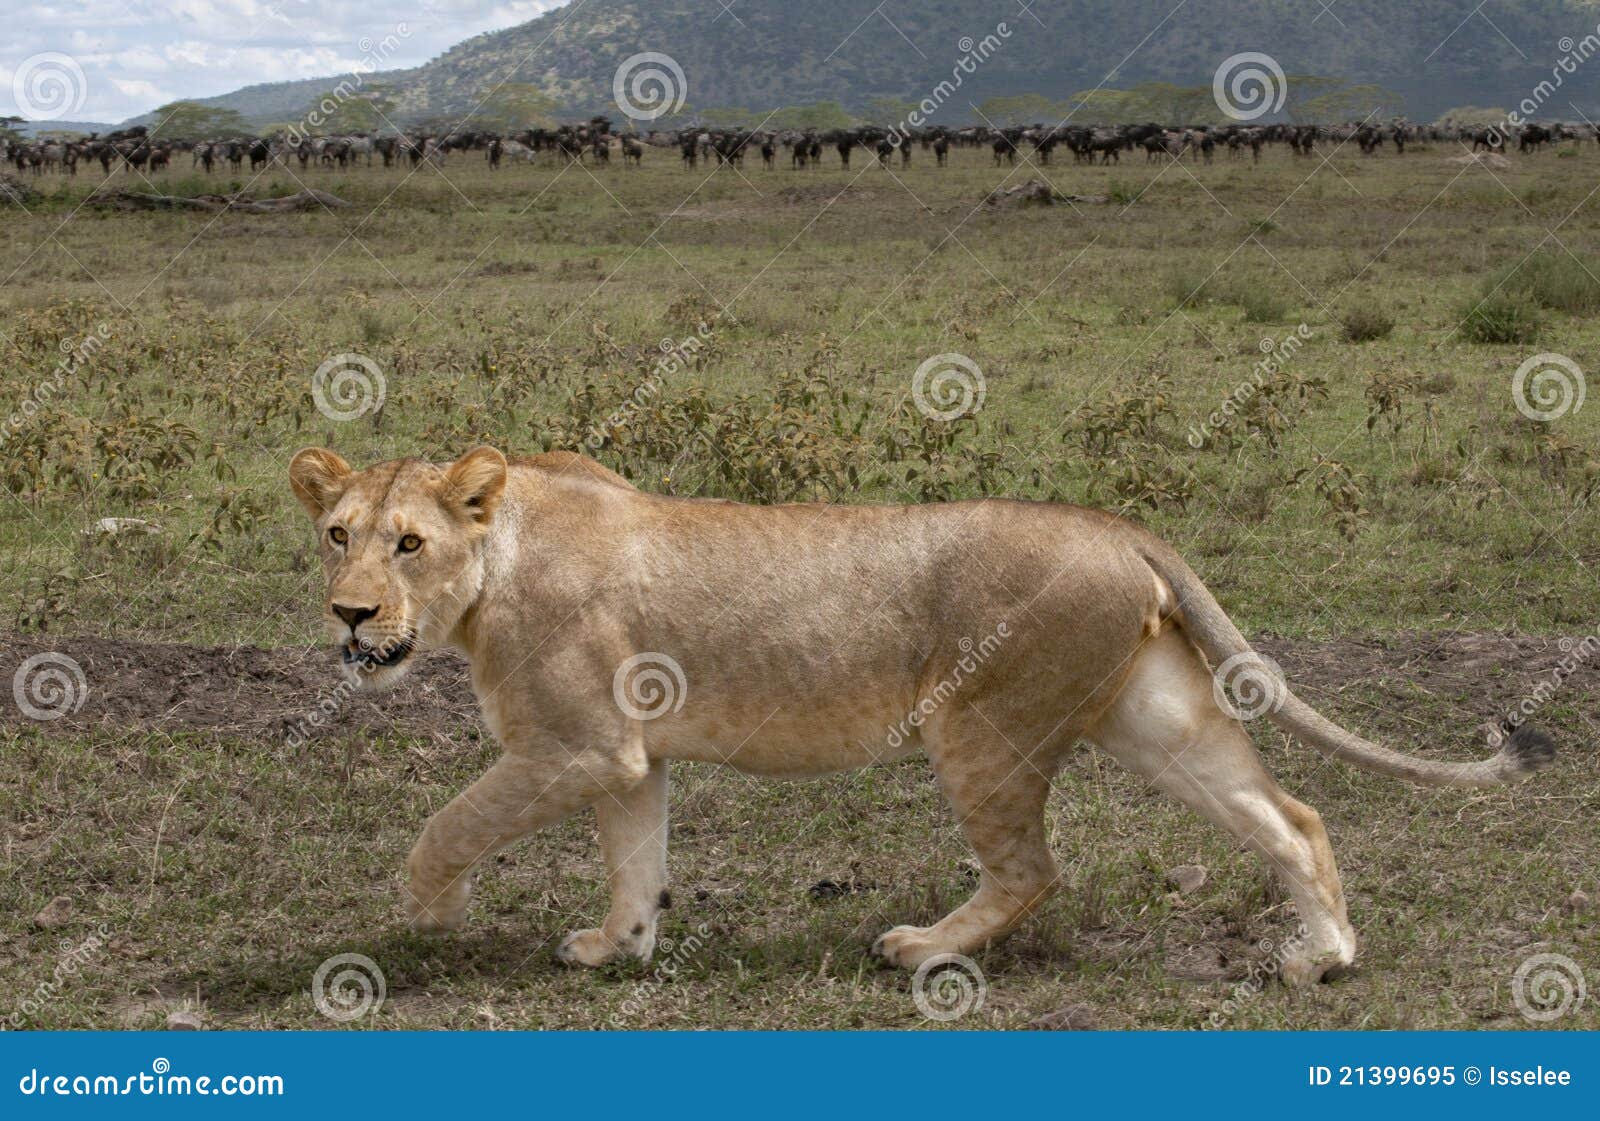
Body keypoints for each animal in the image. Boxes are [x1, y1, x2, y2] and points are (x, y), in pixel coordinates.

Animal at [288, 445, 1554, 986]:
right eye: (336, 533)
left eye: (410, 542)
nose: (349, 612)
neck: (492, 564)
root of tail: (1110, 522)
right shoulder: (627, 756)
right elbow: (635, 863)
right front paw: (618, 949)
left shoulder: (574, 744)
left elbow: (443, 827)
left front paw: (437, 919)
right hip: (1158, 717)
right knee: (1291, 817)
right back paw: (1321, 956)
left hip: (980, 725)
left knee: (1033, 867)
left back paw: (924, 948)